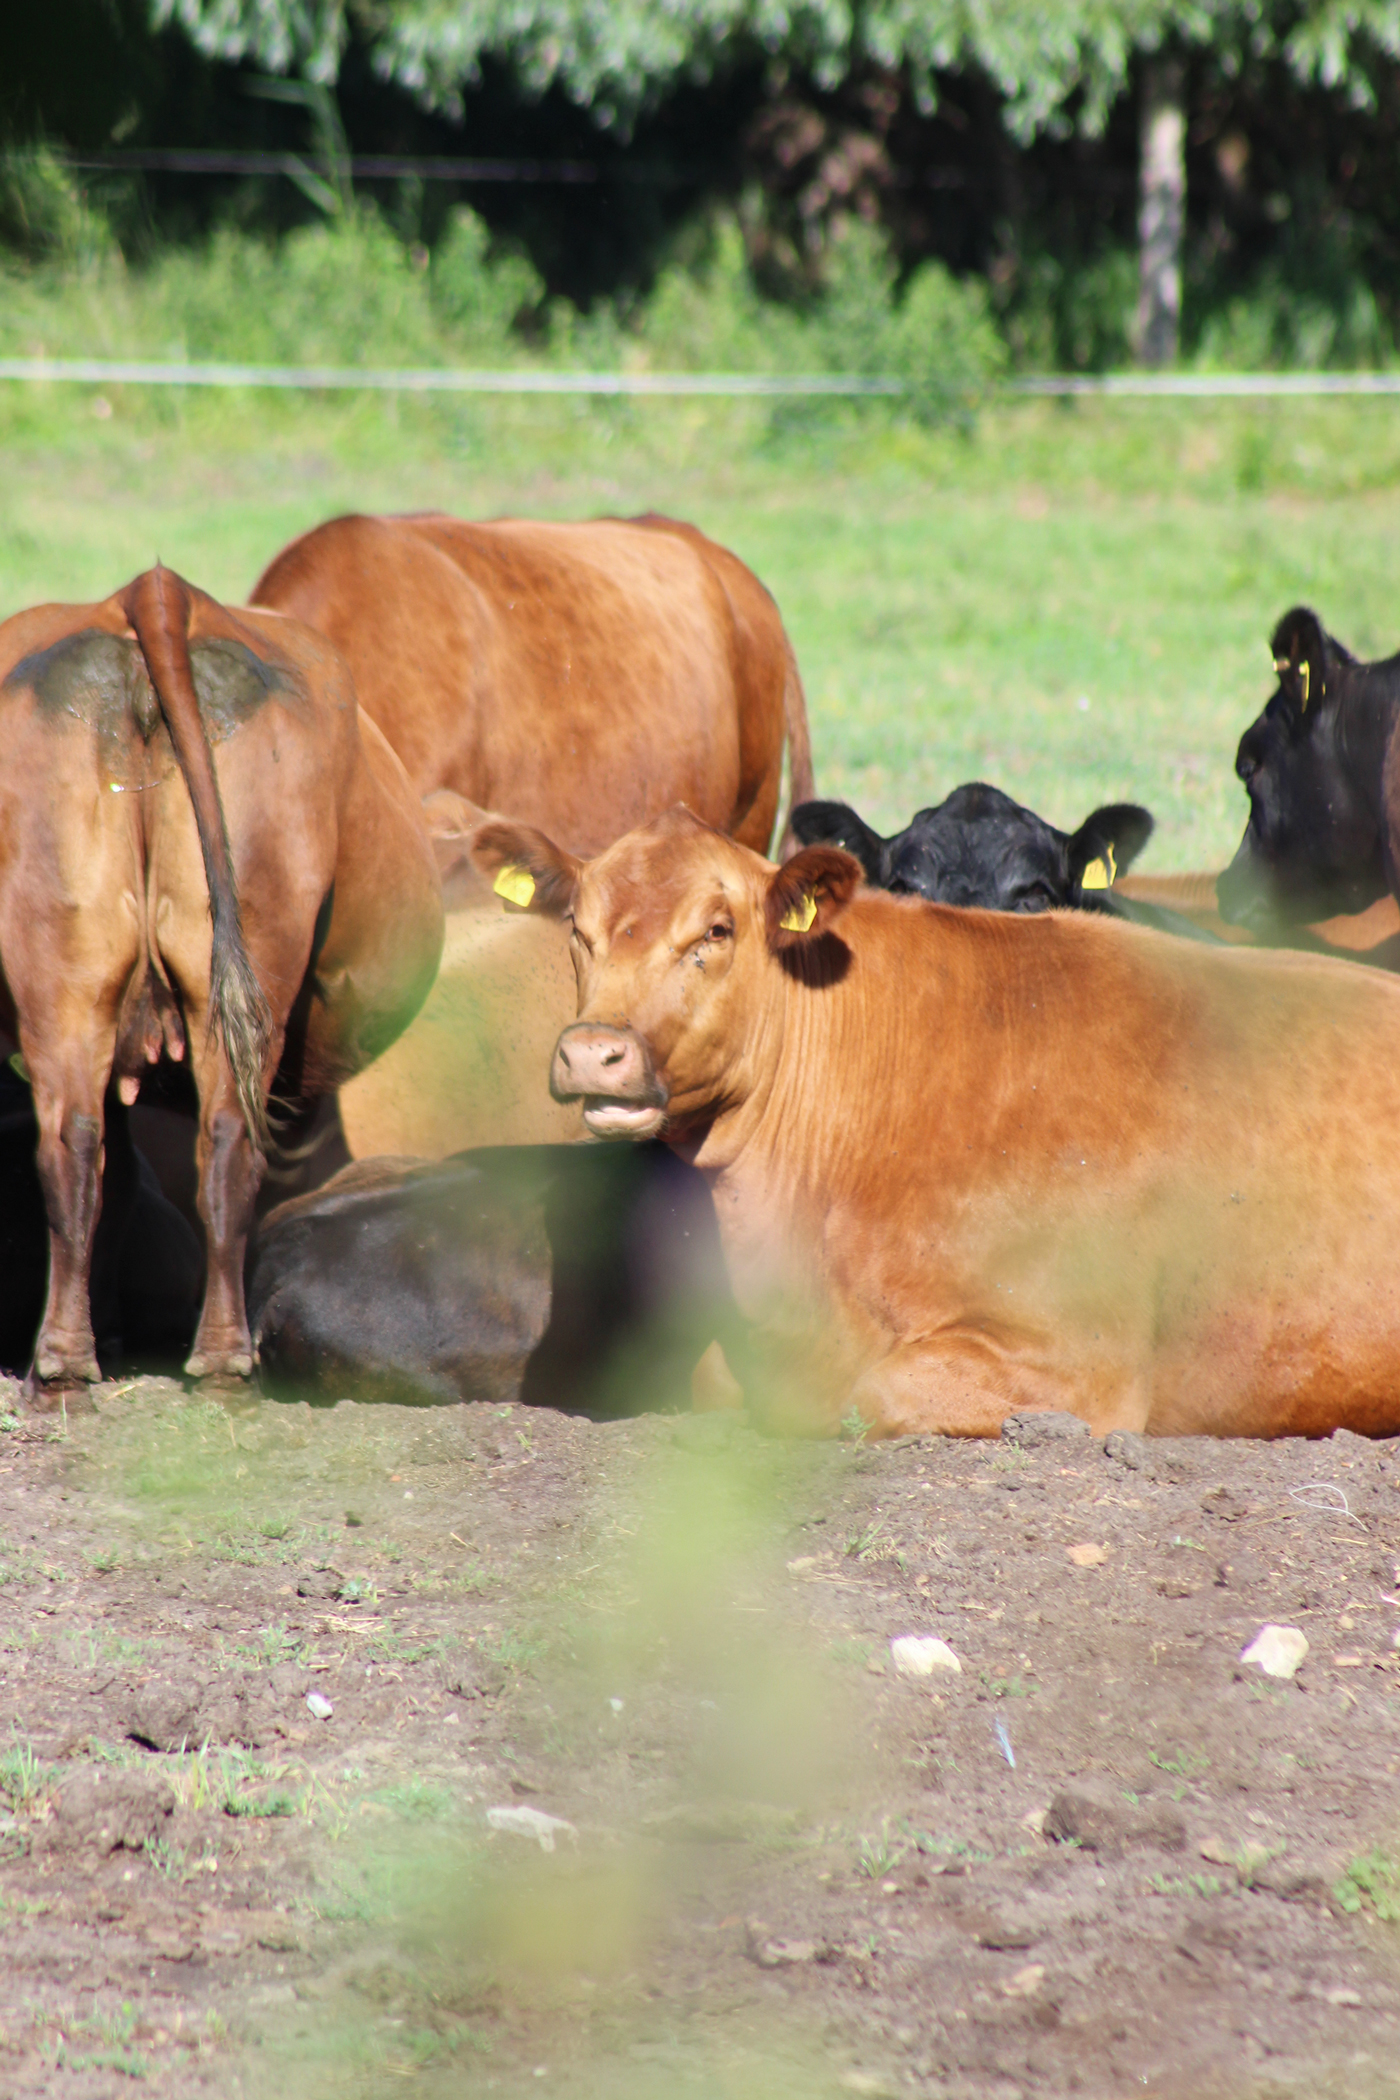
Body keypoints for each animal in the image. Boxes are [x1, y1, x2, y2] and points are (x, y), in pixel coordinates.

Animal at [0, 567, 443, 1398]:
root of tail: (153, 592)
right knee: (222, 1141)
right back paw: (218, 1359)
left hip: (69, 969)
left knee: (79, 1143)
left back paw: (74, 1358)